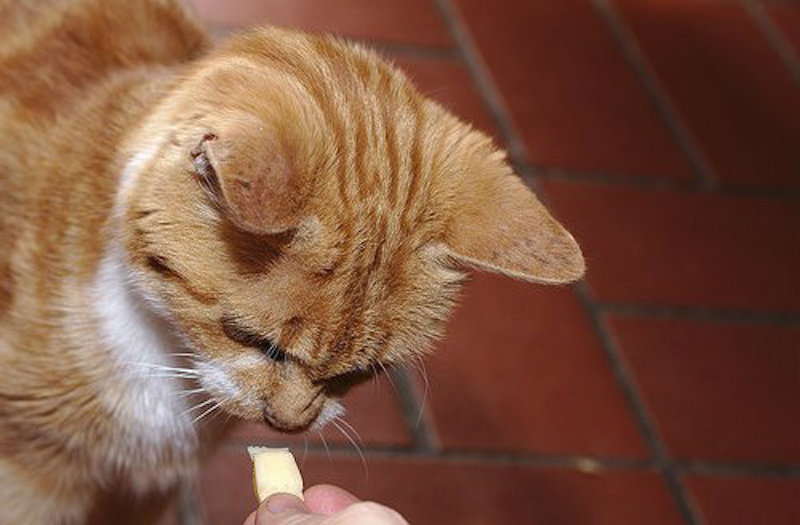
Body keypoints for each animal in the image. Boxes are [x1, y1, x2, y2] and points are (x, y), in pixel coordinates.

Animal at [1, 1, 588, 520]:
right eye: (251, 339)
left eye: (365, 372)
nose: (287, 424)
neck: (161, 354)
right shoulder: (31, 480)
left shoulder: (146, 494)